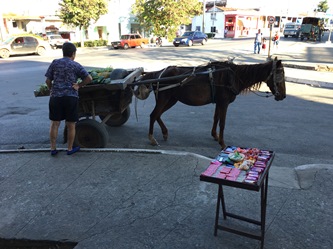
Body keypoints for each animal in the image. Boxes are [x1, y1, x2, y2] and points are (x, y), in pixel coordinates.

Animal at [132, 57, 286, 148]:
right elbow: (222, 123)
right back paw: (152, 138)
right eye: (280, 75)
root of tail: (159, 72)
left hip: (171, 100)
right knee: (153, 115)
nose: (283, 96)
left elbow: (216, 119)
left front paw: (215, 136)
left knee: (158, 115)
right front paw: (222, 143)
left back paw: (164, 133)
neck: (232, 76)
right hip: (164, 99)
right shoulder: (224, 103)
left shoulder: (219, 103)